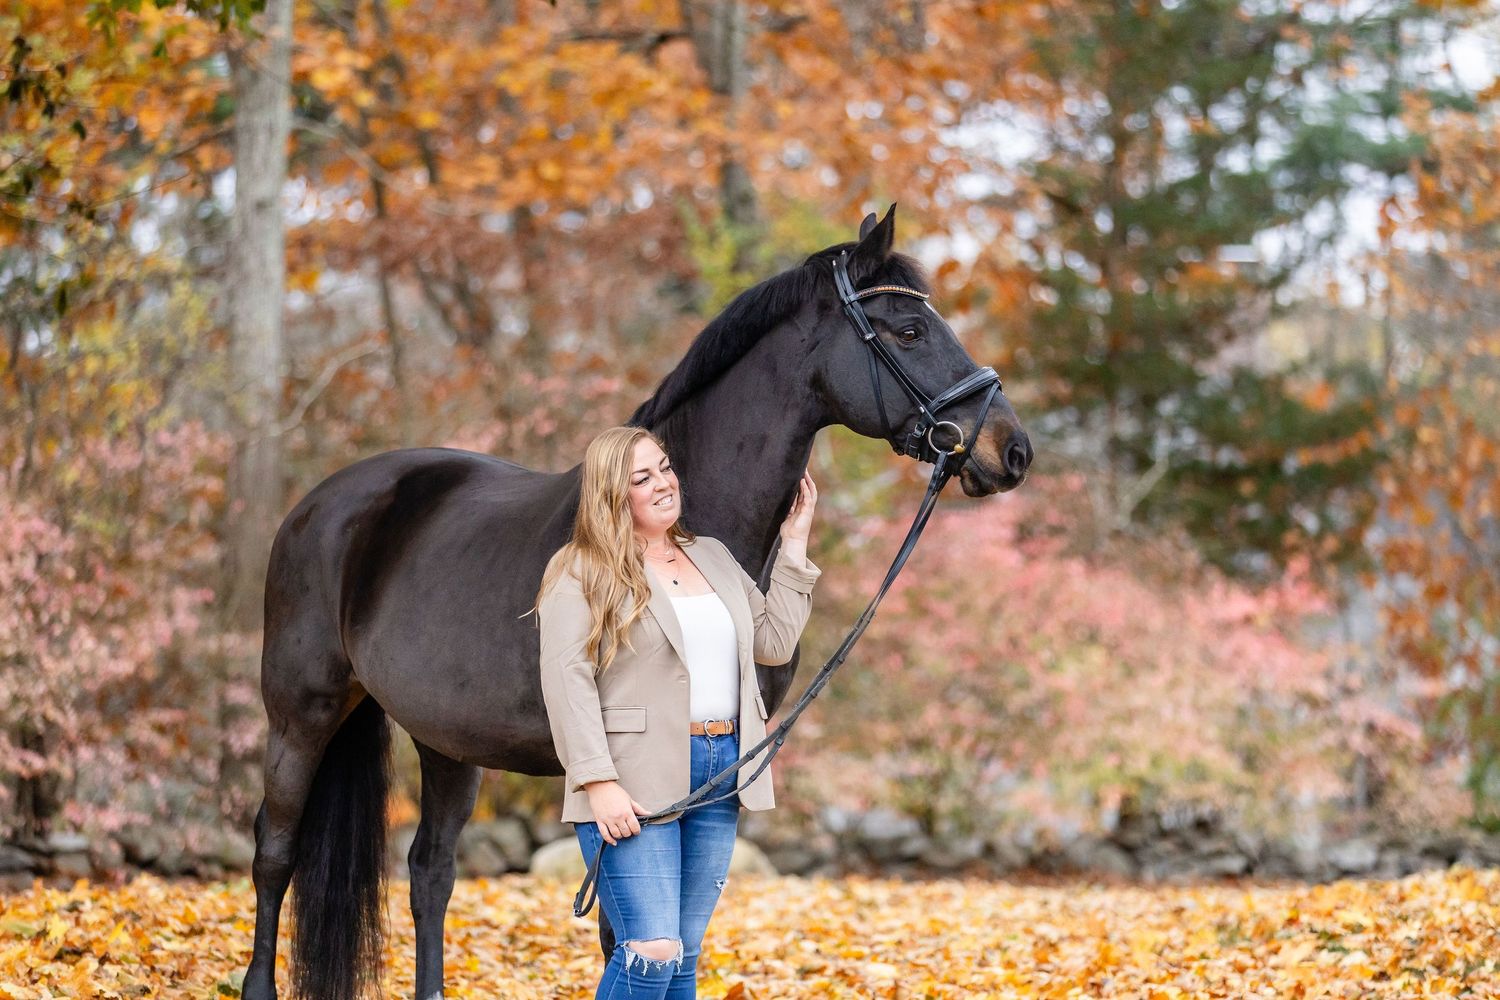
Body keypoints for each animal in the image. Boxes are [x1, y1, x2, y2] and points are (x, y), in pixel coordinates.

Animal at [240, 205, 1032, 1000]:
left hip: (447, 741)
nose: (1013, 450)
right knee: (275, 852)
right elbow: (626, 933)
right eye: (909, 330)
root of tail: (320, 504)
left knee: (429, 872)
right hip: (302, 715)